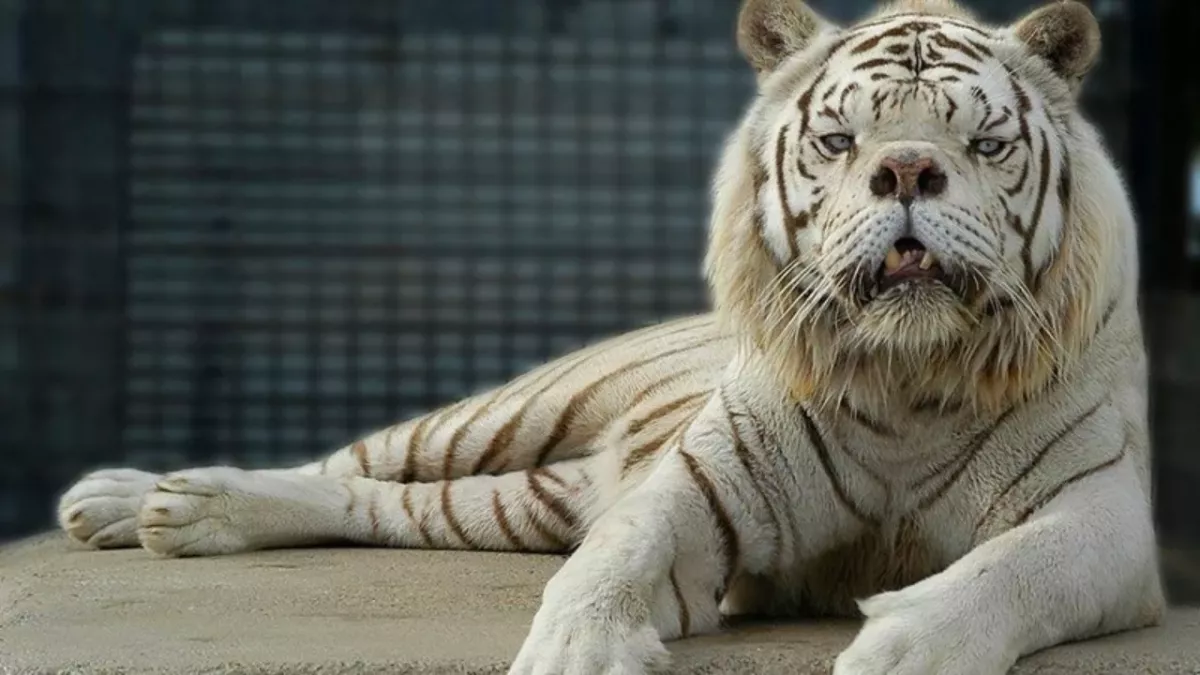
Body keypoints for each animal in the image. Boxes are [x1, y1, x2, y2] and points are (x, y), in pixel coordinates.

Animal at [55, 0, 1163, 673]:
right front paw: (572, 650)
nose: (906, 171)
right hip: (509, 412)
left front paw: (903, 645)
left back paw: (166, 512)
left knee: (384, 506)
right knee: (349, 461)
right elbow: (611, 561)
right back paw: (141, 498)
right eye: (840, 140)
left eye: (984, 141)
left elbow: (1010, 571)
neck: (906, 377)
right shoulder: (701, 485)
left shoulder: (1101, 515)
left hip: (524, 499)